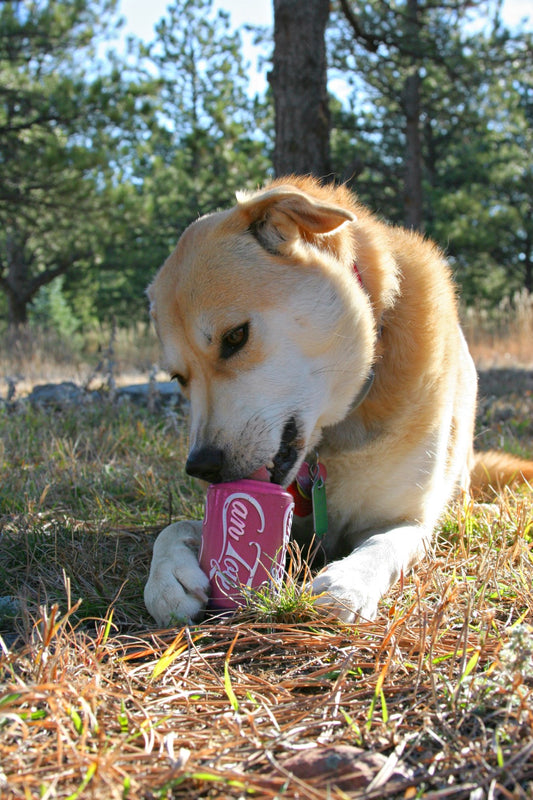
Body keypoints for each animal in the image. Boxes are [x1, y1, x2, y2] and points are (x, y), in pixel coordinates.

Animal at [142, 178, 532, 628]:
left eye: (235, 337)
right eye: (178, 378)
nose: (202, 467)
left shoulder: (409, 521)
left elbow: (383, 544)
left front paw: (348, 582)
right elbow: (175, 529)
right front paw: (168, 578)